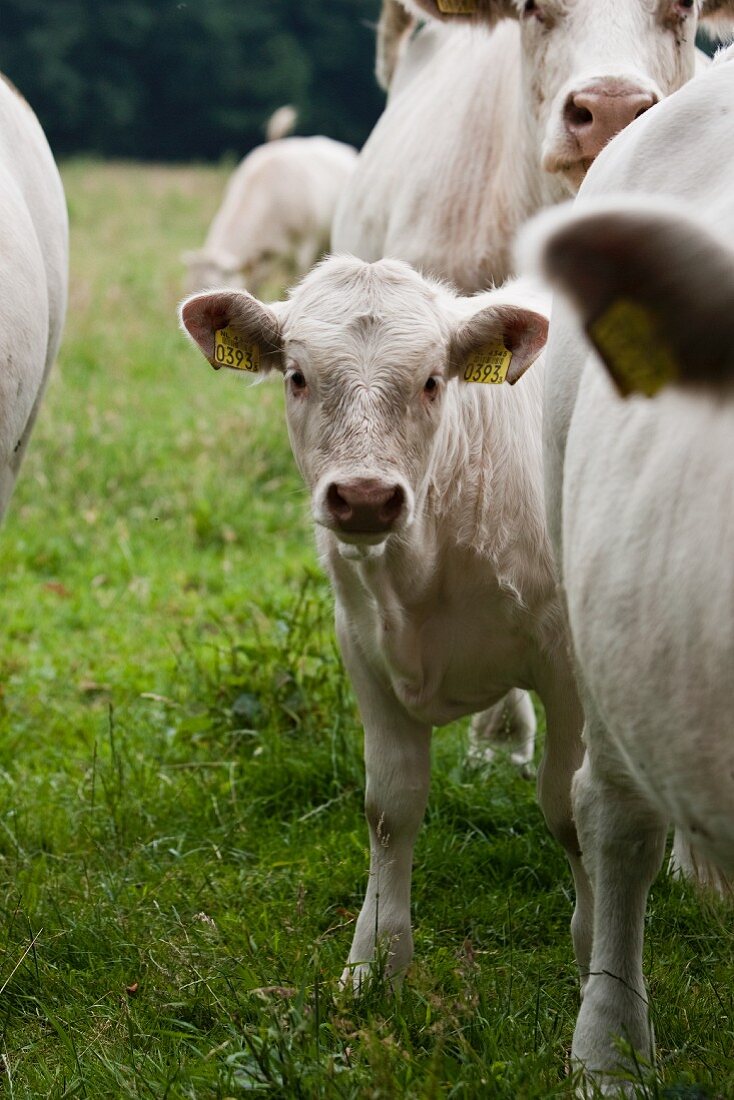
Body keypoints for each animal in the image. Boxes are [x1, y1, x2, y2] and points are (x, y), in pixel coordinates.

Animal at [180, 255, 594, 990]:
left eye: (431, 381)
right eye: (297, 376)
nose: (367, 497)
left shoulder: (565, 661)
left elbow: (567, 810)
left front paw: (600, 971)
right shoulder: (364, 650)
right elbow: (390, 808)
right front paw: (375, 961)